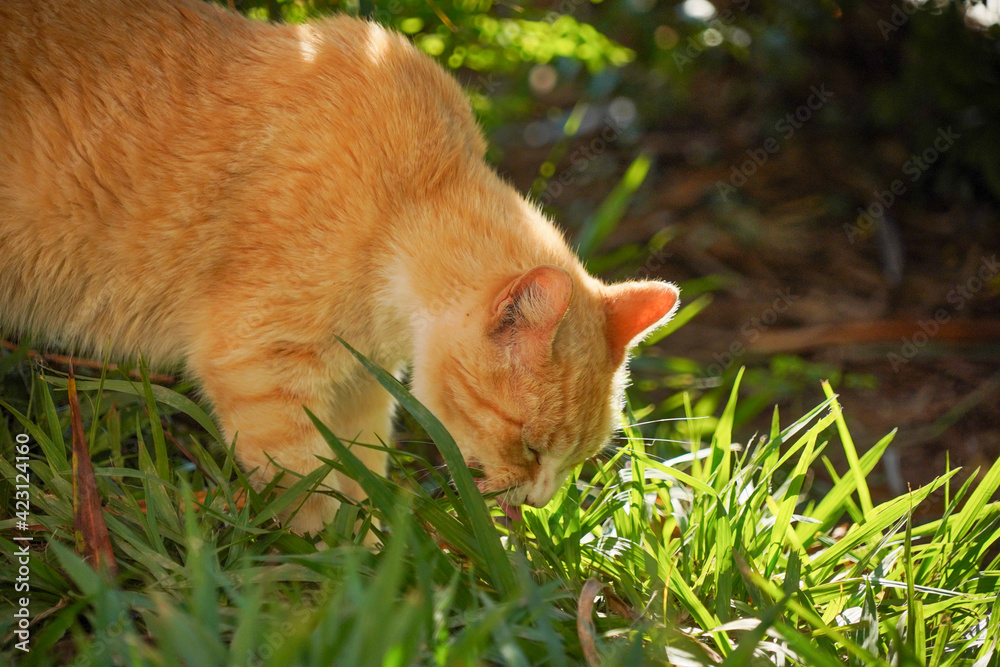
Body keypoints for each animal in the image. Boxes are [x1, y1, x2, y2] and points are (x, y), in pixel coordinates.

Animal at [0, 0, 676, 532]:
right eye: (532, 447)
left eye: (578, 461)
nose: (537, 502)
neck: (408, 201)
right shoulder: (258, 368)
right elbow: (314, 496)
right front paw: (340, 568)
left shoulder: (360, 389)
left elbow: (359, 474)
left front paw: (378, 551)